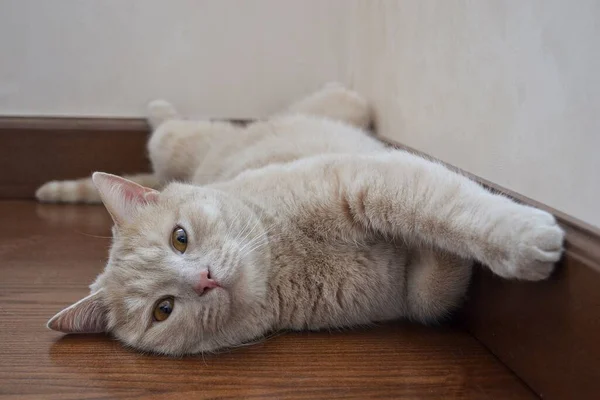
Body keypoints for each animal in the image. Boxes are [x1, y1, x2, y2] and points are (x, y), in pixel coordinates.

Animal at [41, 84, 564, 356]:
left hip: (183, 140)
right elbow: (434, 287)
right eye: (163, 309)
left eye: (180, 238)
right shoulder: (412, 295)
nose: (204, 279)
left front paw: (523, 238)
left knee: (169, 124)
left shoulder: (368, 178)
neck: (288, 257)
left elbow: (451, 207)